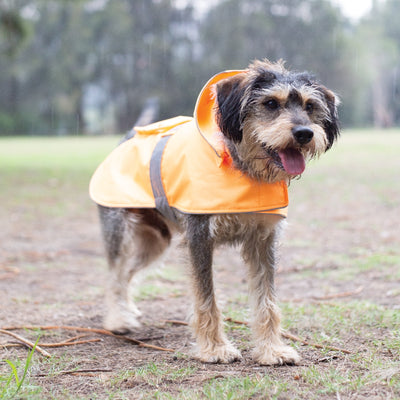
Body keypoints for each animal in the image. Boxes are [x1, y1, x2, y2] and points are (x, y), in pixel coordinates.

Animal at [92, 60, 340, 366]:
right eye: (271, 103)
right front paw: (214, 349)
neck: (243, 167)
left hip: (155, 243)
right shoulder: (199, 238)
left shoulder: (264, 241)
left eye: (309, 105)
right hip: (119, 231)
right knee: (115, 274)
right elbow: (206, 299)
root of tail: (129, 136)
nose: (304, 133)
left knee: (127, 273)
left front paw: (271, 349)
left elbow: (267, 301)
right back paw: (118, 320)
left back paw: (127, 311)